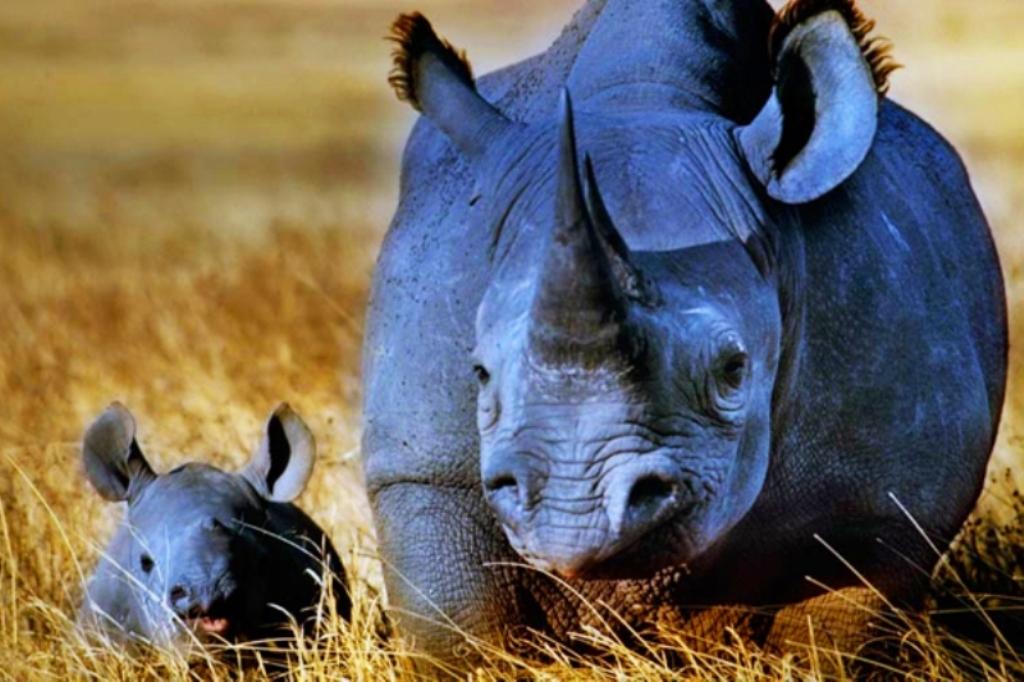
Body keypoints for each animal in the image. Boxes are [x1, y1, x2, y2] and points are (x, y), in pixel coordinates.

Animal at [363, 0, 1006, 666]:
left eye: (733, 371)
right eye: (480, 372)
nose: (575, 511)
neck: (644, 97)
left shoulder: (887, 500)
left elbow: (832, 642)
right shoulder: (426, 469)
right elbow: (460, 631)